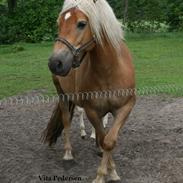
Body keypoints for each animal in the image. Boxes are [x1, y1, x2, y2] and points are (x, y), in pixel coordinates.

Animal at [42, 0, 135, 182]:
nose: (55, 62)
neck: (110, 70)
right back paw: (68, 154)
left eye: (81, 24)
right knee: (66, 120)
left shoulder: (125, 107)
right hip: (62, 94)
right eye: (59, 24)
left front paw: (112, 173)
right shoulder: (92, 110)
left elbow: (109, 140)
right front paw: (102, 174)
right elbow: (105, 139)